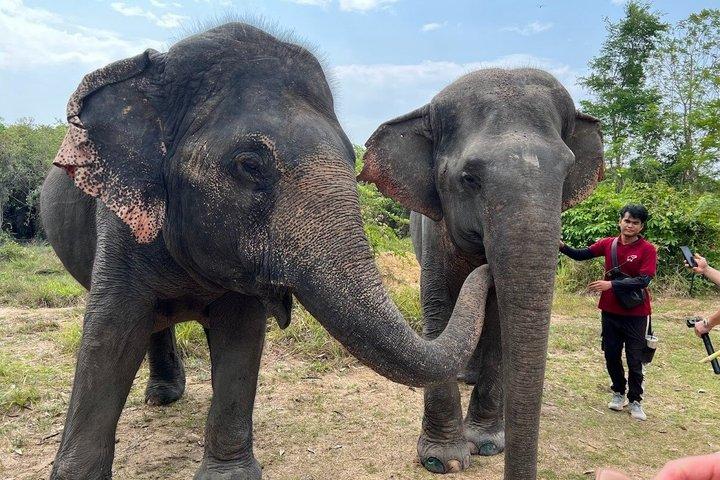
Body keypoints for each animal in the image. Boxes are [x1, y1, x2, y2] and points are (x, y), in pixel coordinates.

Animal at [39, 23, 495, 480]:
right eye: (250, 165)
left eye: (353, 158)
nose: (485, 263)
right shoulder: (118, 218)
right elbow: (110, 333)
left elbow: (241, 336)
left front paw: (229, 476)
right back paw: (162, 399)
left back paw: (166, 395)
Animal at [359, 68, 604, 480]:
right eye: (469, 178)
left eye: (567, 172)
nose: (486, 258)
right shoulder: (433, 232)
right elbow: (439, 310)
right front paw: (443, 460)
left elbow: (501, 322)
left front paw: (487, 444)